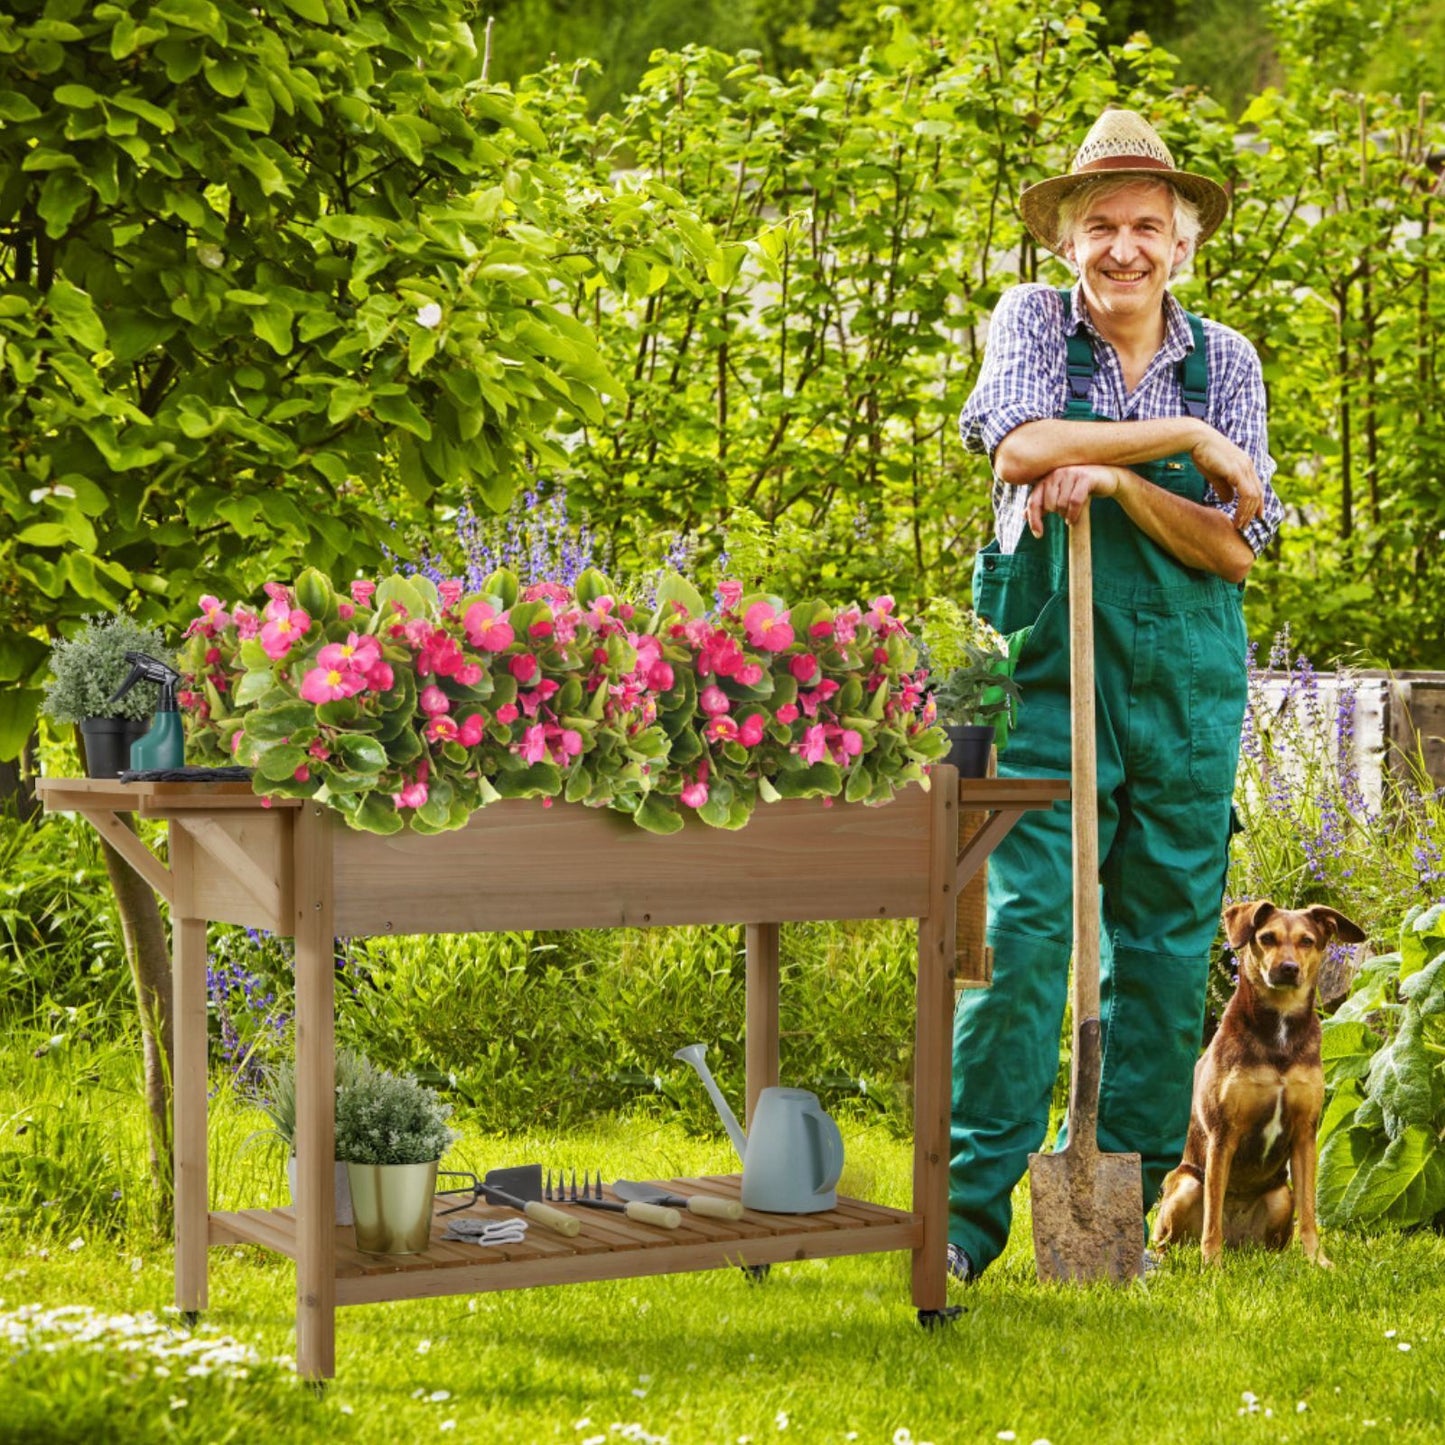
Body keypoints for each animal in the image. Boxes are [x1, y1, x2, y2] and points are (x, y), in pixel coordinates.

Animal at [1150, 895, 1364, 1271]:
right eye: (1266, 938)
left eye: (1307, 941)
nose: (1288, 968)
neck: (1279, 1032)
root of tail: (1239, 1243)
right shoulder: (1223, 1133)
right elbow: (1212, 1216)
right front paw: (1212, 1265)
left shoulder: (1305, 1133)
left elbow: (1310, 1213)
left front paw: (1318, 1261)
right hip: (1186, 1187)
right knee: (1170, 1236)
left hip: (1281, 1197)